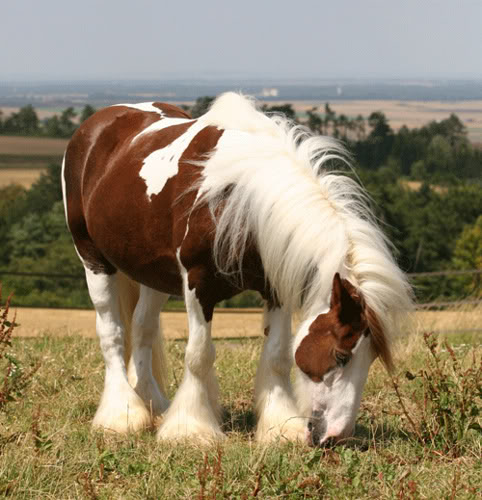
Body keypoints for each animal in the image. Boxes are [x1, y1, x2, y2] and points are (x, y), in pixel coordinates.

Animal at [62, 94, 412, 446]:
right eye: (342, 355)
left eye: (371, 358)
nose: (336, 437)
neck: (242, 201)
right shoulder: (198, 285)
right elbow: (199, 355)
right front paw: (191, 430)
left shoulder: (275, 289)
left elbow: (277, 355)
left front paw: (279, 427)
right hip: (93, 259)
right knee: (113, 333)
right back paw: (122, 415)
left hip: (151, 274)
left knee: (142, 330)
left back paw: (153, 406)